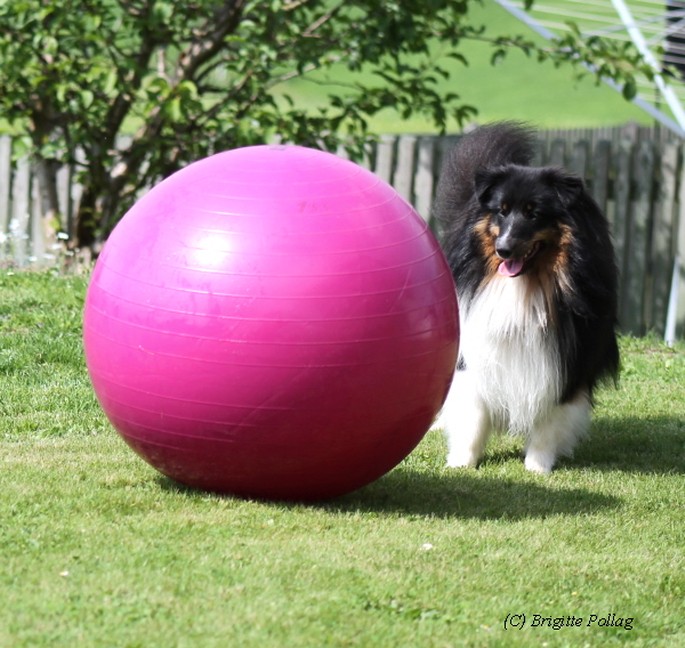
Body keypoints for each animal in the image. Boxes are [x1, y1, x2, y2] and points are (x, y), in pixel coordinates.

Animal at [433, 122, 619, 473]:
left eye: (534, 214)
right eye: (501, 212)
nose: (503, 250)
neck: (527, 285)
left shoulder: (566, 360)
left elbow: (550, 420)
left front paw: (537, 467)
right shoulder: (476, 347)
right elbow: (473, 414)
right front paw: (461, 463)